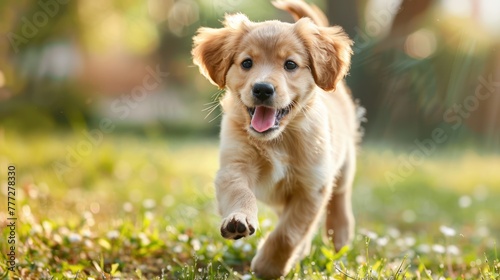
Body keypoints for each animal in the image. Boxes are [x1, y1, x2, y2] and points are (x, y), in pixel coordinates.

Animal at [191, 0, 360, 278]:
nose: (262, 89)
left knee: (341, 197)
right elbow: (241, 193)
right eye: (247, 63)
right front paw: (238, 219)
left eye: (290, 65)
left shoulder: (312, 187)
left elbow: (288, 234)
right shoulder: (234, 167)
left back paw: (341, 235)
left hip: (344, 164)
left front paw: (268, 267)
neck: (277, 140)